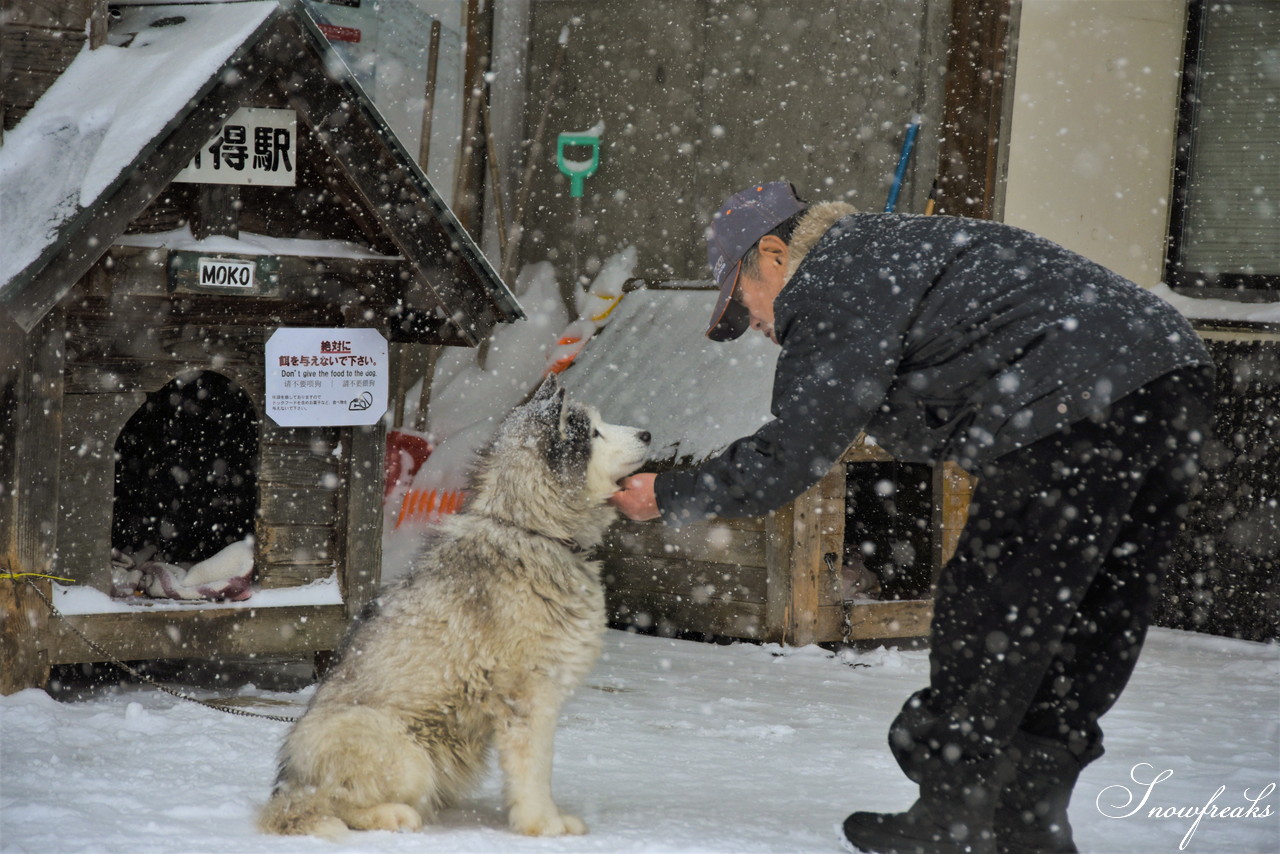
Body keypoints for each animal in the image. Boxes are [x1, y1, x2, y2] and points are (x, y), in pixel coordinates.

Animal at [259, 376, 650, 839]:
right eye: (593, 432)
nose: (648, 434)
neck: (531, 529)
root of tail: (288, 783)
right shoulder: (529, 701)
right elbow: (536, 772)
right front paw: (545, 824)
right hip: (405, 752)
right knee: (334, 805)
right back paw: (395, 815)